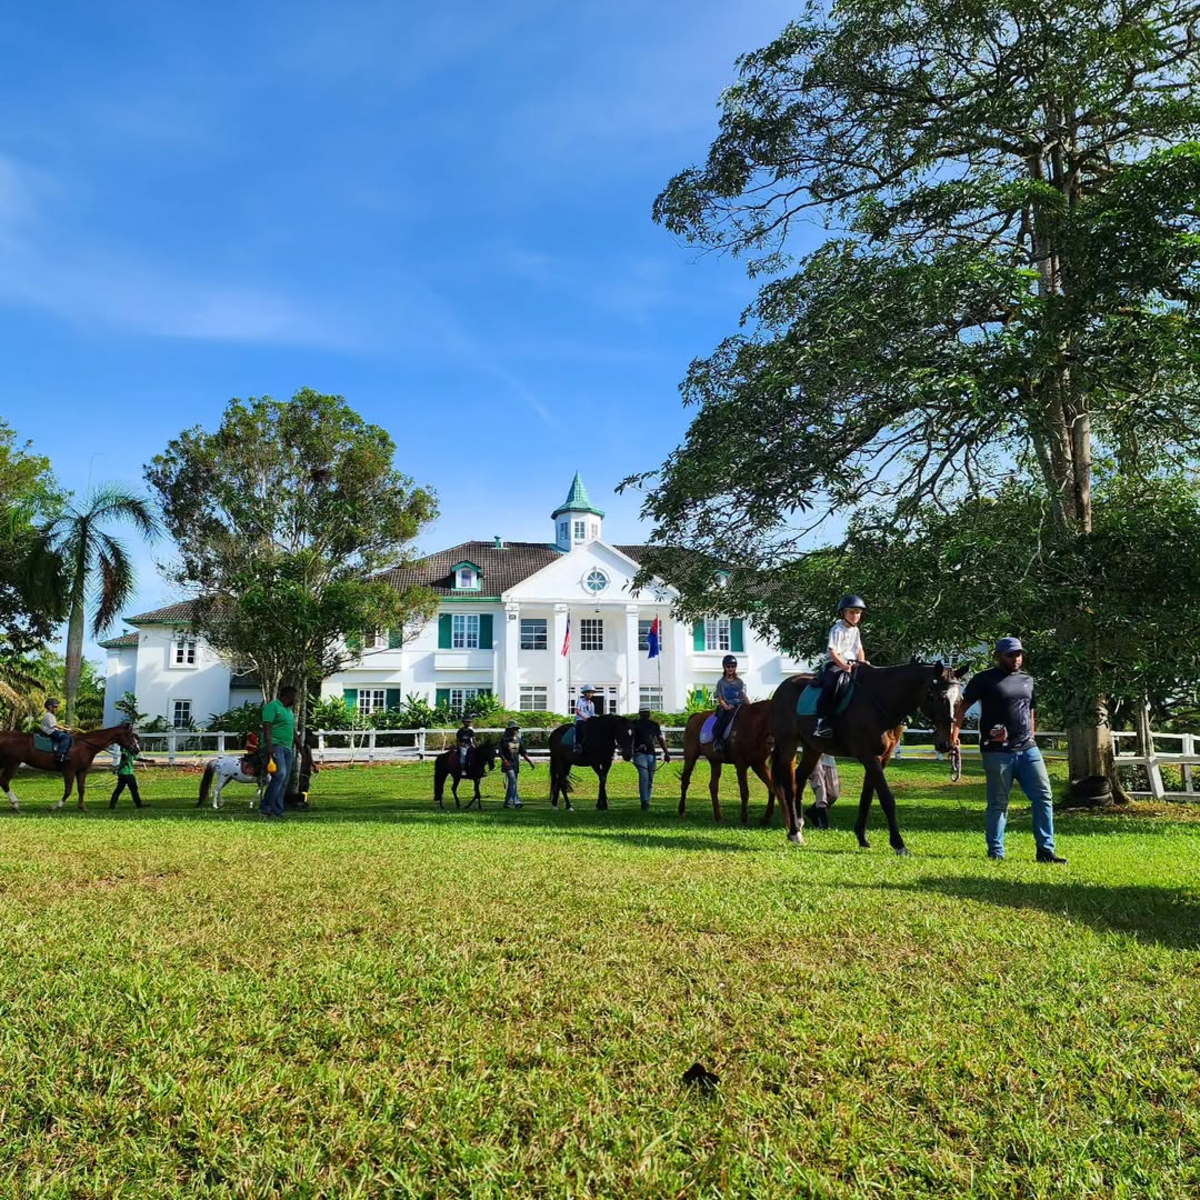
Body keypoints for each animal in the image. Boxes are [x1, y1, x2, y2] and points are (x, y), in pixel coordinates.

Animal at [0, 722, 141, 812]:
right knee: (4, 781)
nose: (137, 750)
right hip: (13, 763)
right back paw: (16, 805)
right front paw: (55, 806)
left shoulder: (81, 771)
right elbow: (68, 790)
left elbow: (81, 789)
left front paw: (82, 807)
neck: (85, 745)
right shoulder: (69, 770)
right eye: (131, 736)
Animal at [770, 662, 966, 854]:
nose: (946, 744)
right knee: (790, 786)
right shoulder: (868, 756)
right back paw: (795, 833)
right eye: (937, 697)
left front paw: (862, 837)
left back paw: (798, 827)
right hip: (788, 746)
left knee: (800, 779)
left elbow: (867, 797)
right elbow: (886, 799)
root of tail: (783, 687)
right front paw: (898, 844)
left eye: (959, 700)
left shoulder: (881, 758)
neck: (882, 700)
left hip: (813, 749)